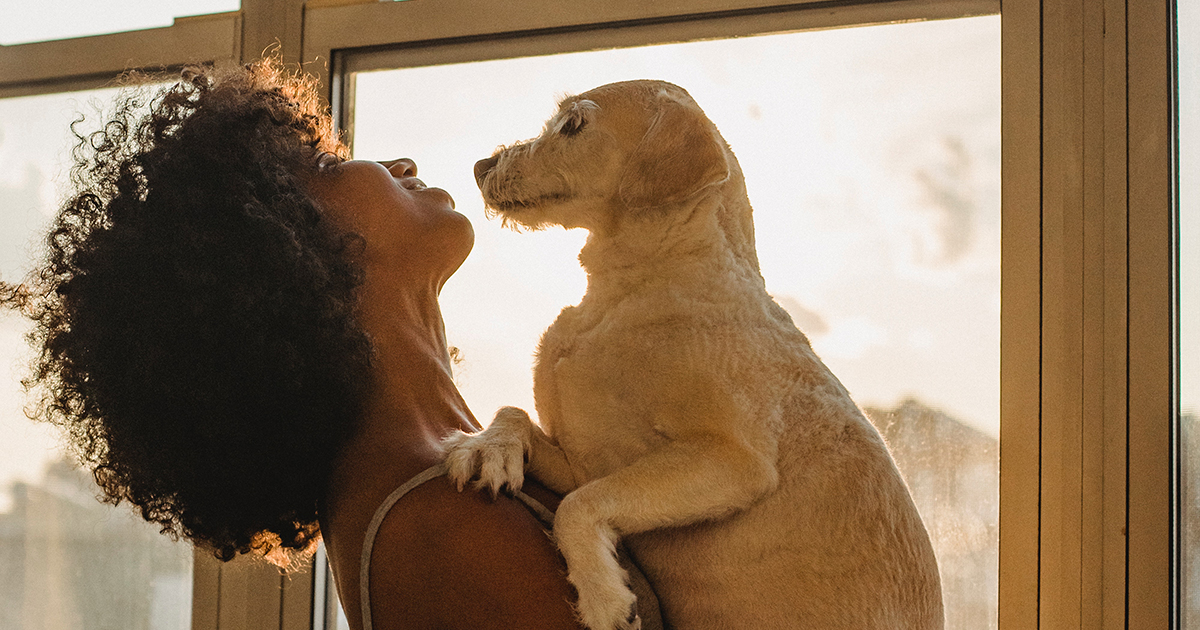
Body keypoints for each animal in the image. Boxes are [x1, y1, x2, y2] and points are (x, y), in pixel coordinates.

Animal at [444, 81, 945, 624]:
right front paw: (487, 447)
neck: (632, 288)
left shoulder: (733, 461)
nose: (480, 166)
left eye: (573, 125)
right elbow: (517, 415)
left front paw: (603, 598)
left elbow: (577, 505)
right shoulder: (584, 461)